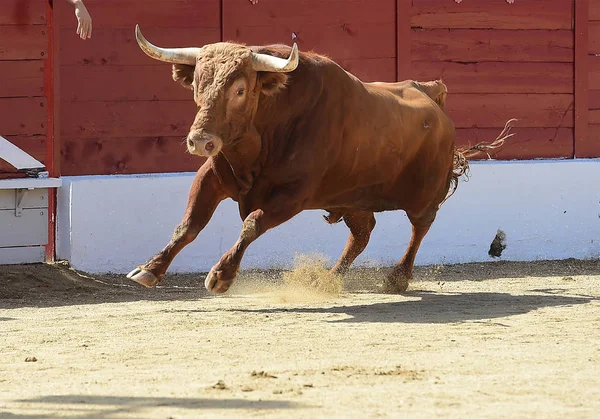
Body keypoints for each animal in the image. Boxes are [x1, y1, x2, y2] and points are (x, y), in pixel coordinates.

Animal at [126, 24, 516, 294]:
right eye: (197, 85)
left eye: (239, 89)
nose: (200, 141)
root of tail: (430, 92)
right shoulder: (213, 175)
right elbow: (189, 224)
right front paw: (151, 269)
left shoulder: (292, 195)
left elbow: (252, 224)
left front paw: (221, 276)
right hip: (352, 198)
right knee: (363, 234)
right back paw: (328, 278)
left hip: (424, 194)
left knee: (420, 228)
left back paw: (397, 278)